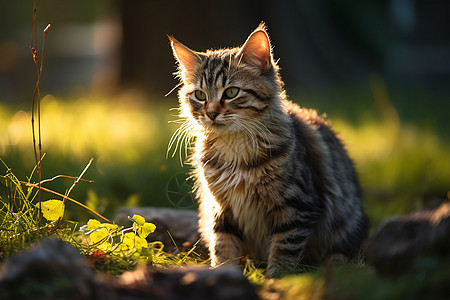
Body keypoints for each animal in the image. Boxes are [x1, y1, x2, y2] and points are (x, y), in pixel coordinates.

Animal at [167, 23, 368, 278]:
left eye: (231, 92)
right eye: (200, 95)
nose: (211, 113)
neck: (234, 147)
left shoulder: (296, 206)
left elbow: (285, 248)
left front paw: (275, 277)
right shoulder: (221, 207)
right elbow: (222, 244)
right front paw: (223, 271)